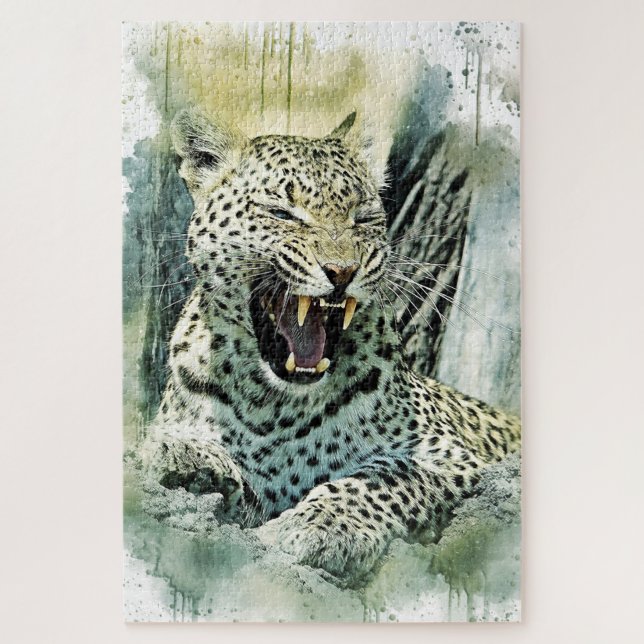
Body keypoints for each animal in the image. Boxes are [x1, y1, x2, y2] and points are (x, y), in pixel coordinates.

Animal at [140, 107, 521, 578]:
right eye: (281, 213)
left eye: (363, 218)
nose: (342, 271)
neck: (272, 406)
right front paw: (184, 455)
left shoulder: (452, 455)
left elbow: (383, 477)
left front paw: (321, 525)